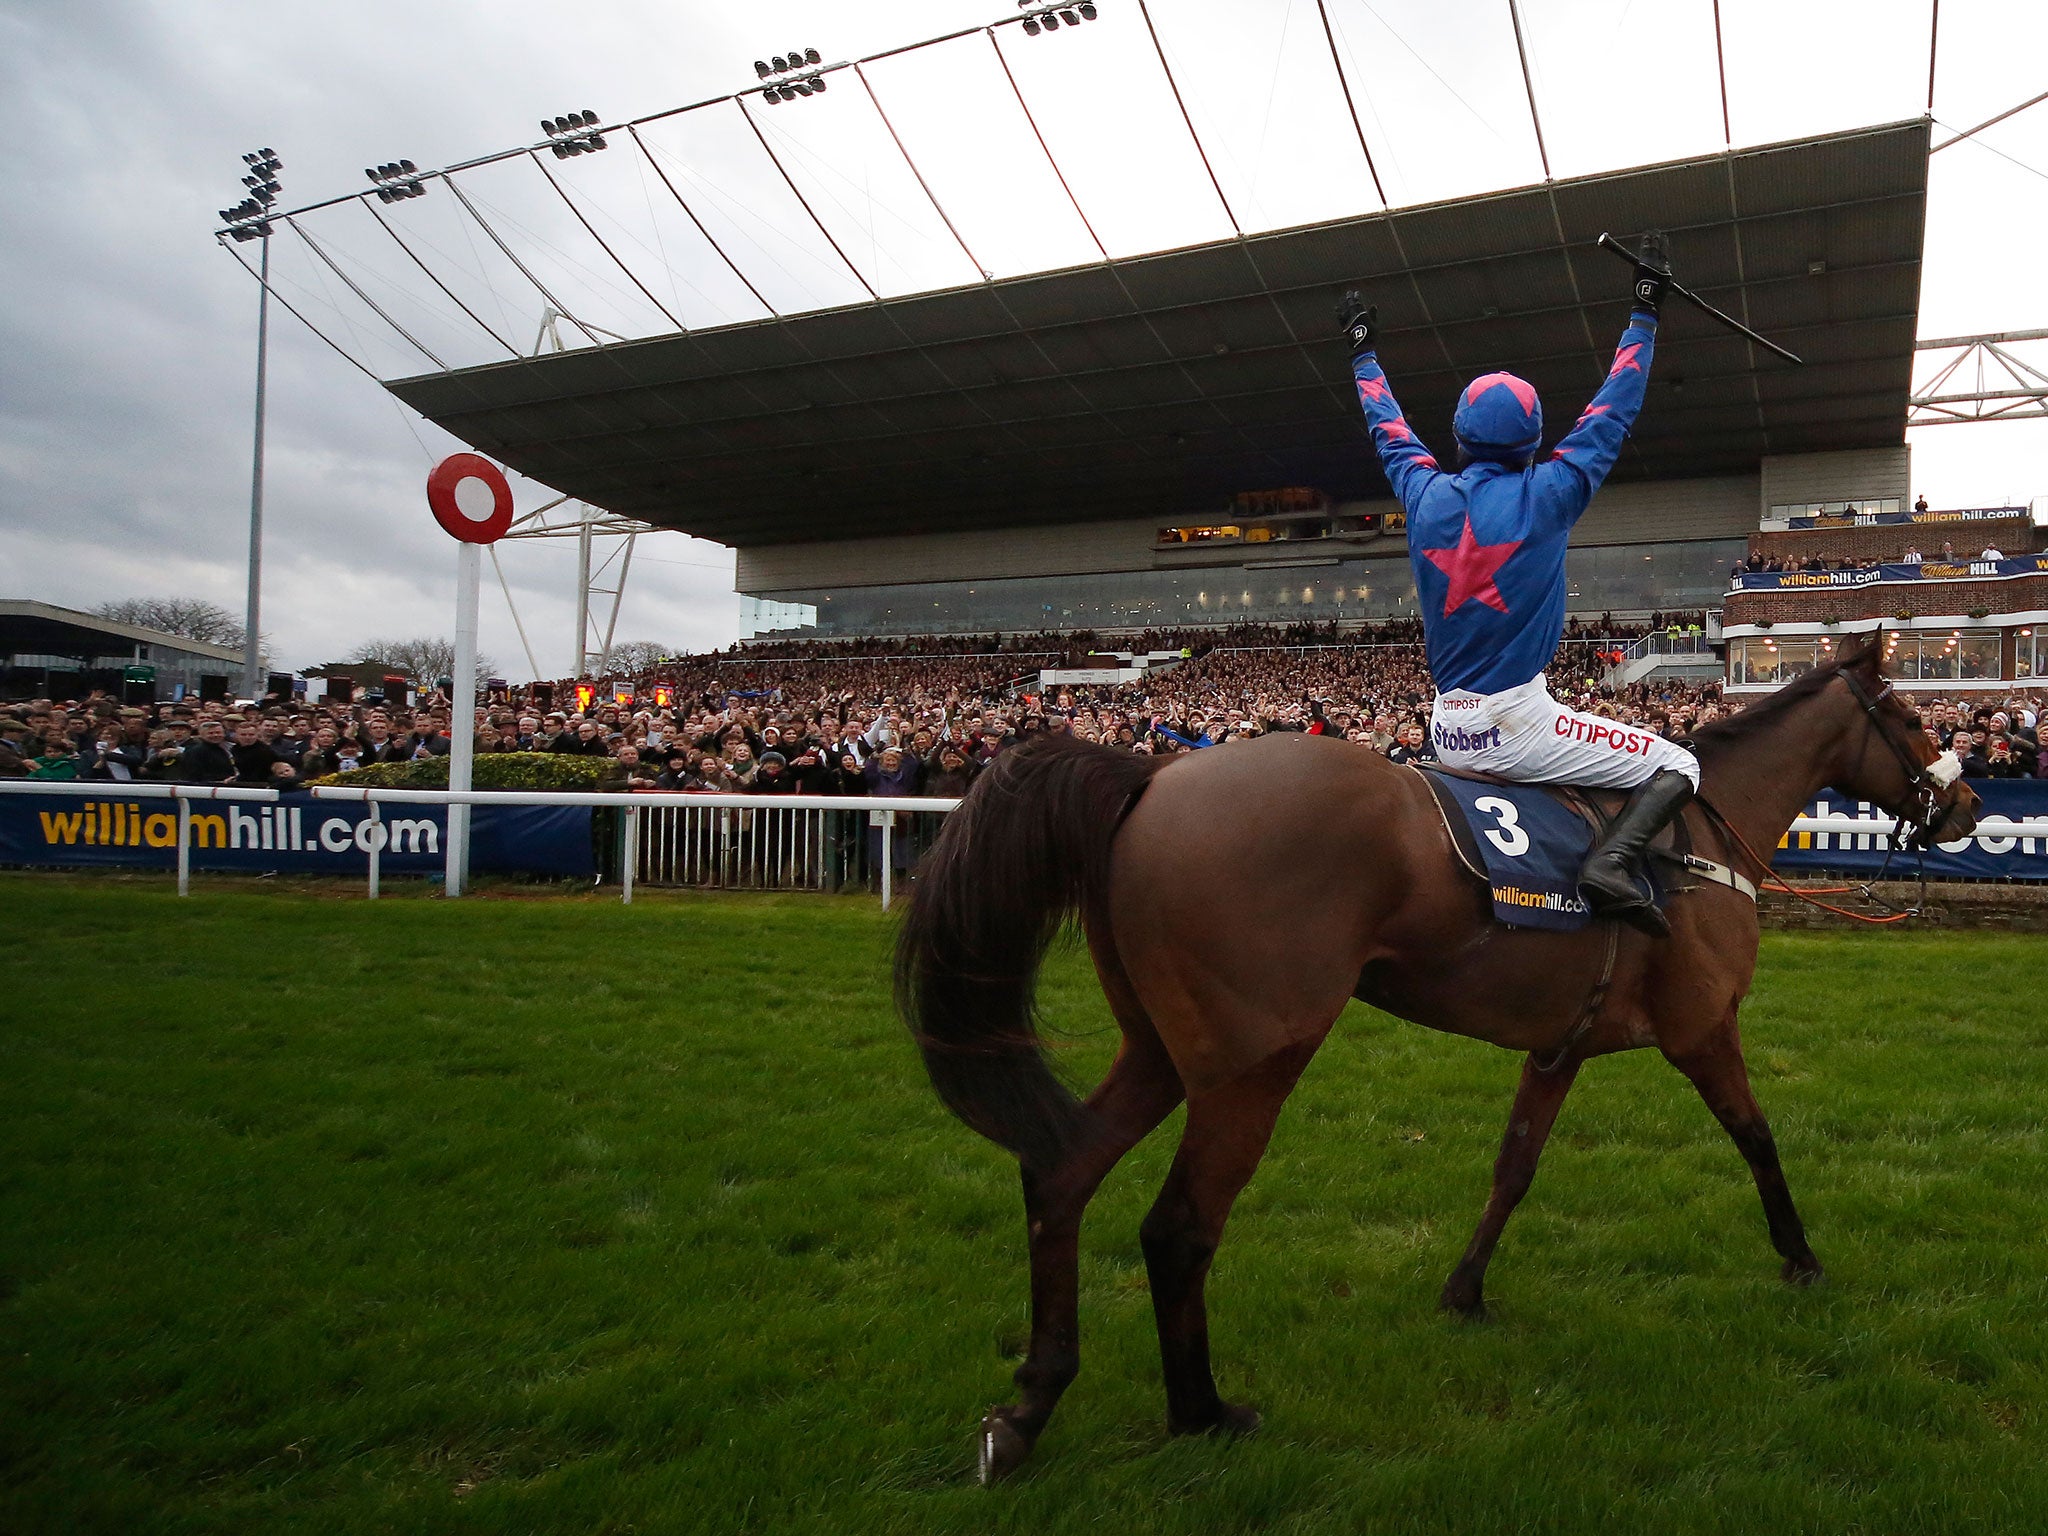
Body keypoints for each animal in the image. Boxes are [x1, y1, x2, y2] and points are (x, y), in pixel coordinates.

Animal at [901, 638, 1982, 1482]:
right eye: (1905, 714)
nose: (1968, 802)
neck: (1694, 835)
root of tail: (1150, 776)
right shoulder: (1701, 1028)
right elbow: (1757, 1136)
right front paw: (1800, 1258)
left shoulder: (1558, 1044)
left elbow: (1513, 1168)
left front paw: (1464, 1292)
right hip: (1253, 1062)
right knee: (1176, 1229)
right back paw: (1202, 1412)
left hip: (1159, 1051)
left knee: (1061, 1175)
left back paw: (1028, 1409)